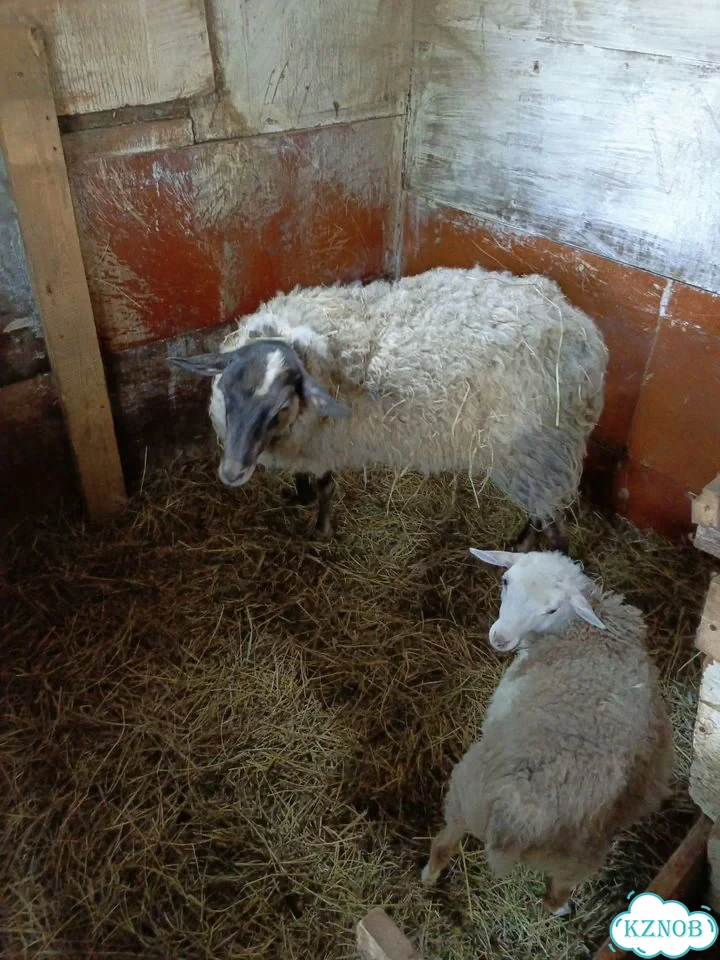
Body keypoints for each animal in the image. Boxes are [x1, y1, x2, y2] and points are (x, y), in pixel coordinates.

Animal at [168, 266, 608, 549]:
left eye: (279, 408)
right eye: (226, 392)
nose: (232, 472)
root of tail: (586, 333)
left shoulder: (329, 440)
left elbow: (327, 486)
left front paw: (322, 528)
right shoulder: (309, 441)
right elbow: (306, 477)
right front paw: (301, 495)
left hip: (537, 454)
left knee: (554, 526)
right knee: (543, 514)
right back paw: (519, 543)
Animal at [422, 548, 674, 916]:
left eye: (552, 608)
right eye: (506, 581)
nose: (500, 638)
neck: (581, 630)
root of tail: (515, 818)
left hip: (466, 796)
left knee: (445, 843)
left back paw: (429, 876)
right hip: (570, 853)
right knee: (557, 888)